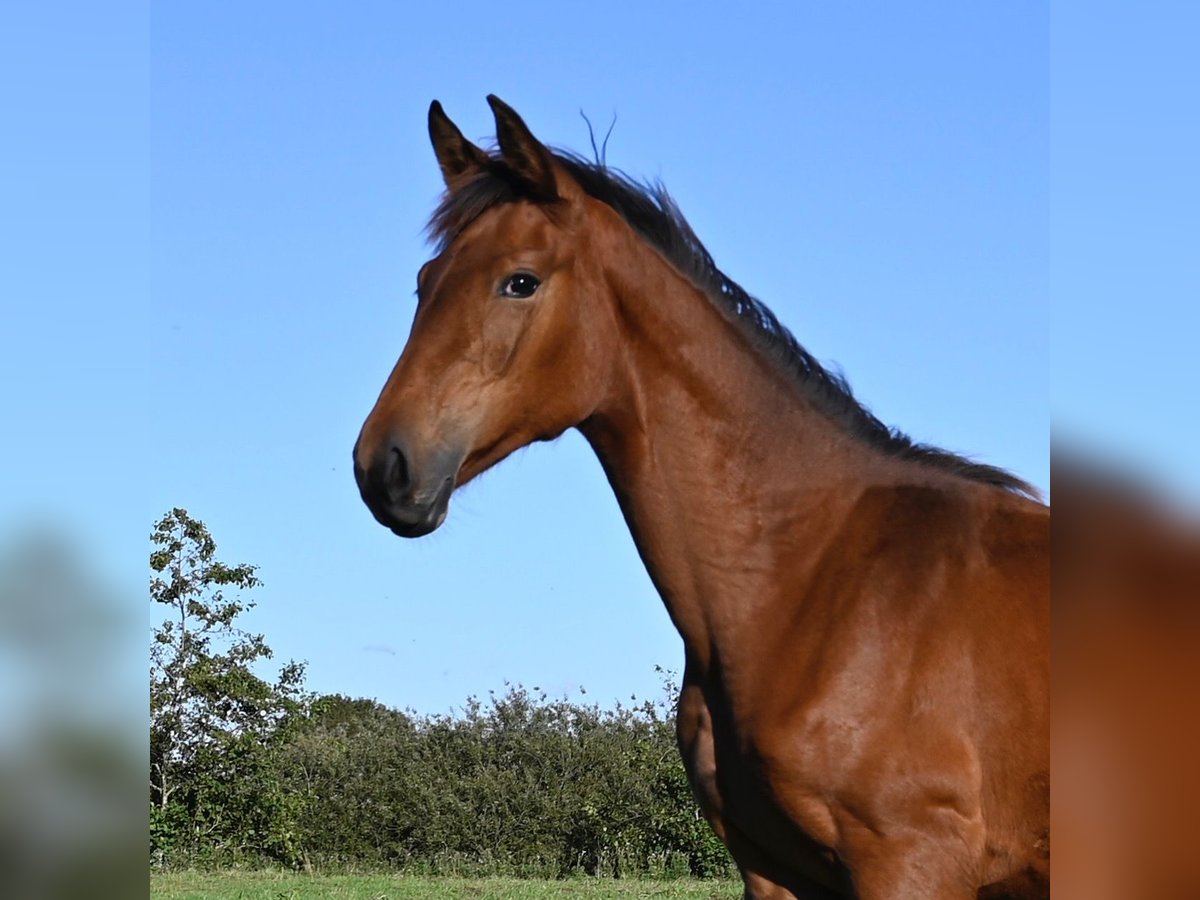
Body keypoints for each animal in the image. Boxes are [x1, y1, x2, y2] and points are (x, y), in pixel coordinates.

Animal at [353, 96, 1049, 900]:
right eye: (425, 280)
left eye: (519, 281)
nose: (383, 465)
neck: (816, 577)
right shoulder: (773, 873)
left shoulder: (910, 866)